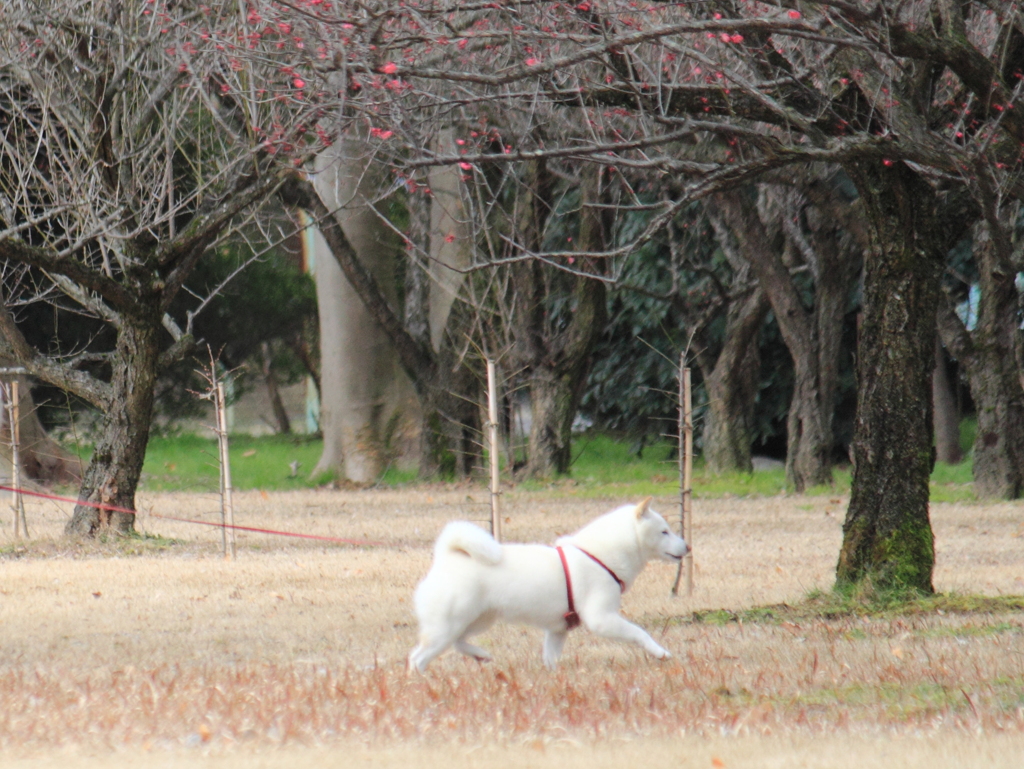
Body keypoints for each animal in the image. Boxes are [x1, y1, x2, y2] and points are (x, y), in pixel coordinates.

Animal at [407, 499, 688, 671]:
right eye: (664, 531)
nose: (687, 547)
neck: (600, 557)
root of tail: (446, 556)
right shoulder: (602, 619)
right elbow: (640, 633)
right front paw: (661, 653)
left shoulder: (557, 630)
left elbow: (551, 659)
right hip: (449, 625)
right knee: (418, 658)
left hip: (476, 620)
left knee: (457, 642)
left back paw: (480, 654)